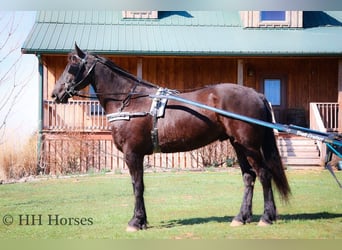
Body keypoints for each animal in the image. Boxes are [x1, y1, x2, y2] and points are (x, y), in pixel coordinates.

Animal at [51, 44, 292, 231]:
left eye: (73, 65)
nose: (55, 94)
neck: (129, 100)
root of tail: (256, 94)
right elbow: (139, 185)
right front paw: (142, 220)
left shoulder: (132, 154)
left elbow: (137, 185)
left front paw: (136, 221)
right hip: (238, 145)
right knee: (248, 177)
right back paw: (241, 217)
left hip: (249, 145)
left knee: (263, 174)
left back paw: (266, 217)